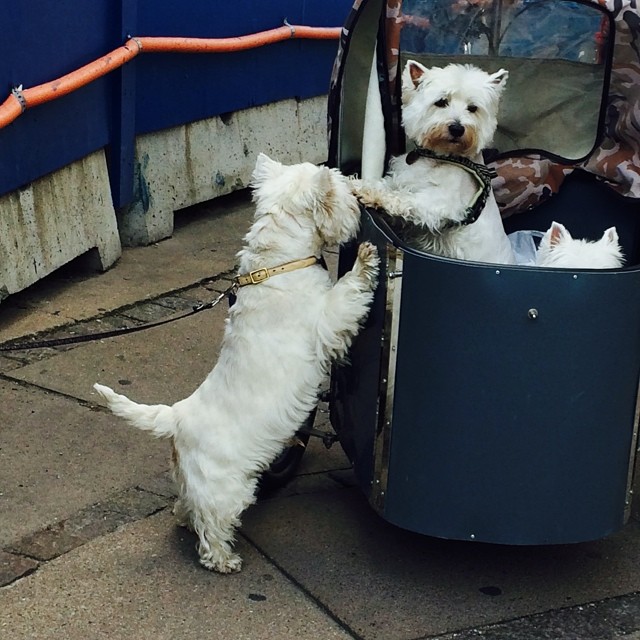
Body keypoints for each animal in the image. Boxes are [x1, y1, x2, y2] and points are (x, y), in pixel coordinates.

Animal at [92, 154, 378, 576]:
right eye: (342, 186)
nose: (360, 195)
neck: (280, 264)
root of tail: (176, 417)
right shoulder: (326, 320)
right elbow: (347, 295)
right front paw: (365, 259)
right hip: (227, 485)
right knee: (212, 524)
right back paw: (224, 560)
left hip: (192, 479)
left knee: (186, 505)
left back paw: (185, 520)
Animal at [352, 60, 516, 264]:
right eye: (441, 102)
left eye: (472, 108)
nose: (457, 128)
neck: (440, 156)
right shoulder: (402, 178)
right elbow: (386, 184)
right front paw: (356, 183)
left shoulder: (442, 203)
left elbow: (405, 198)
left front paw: (371, 194)